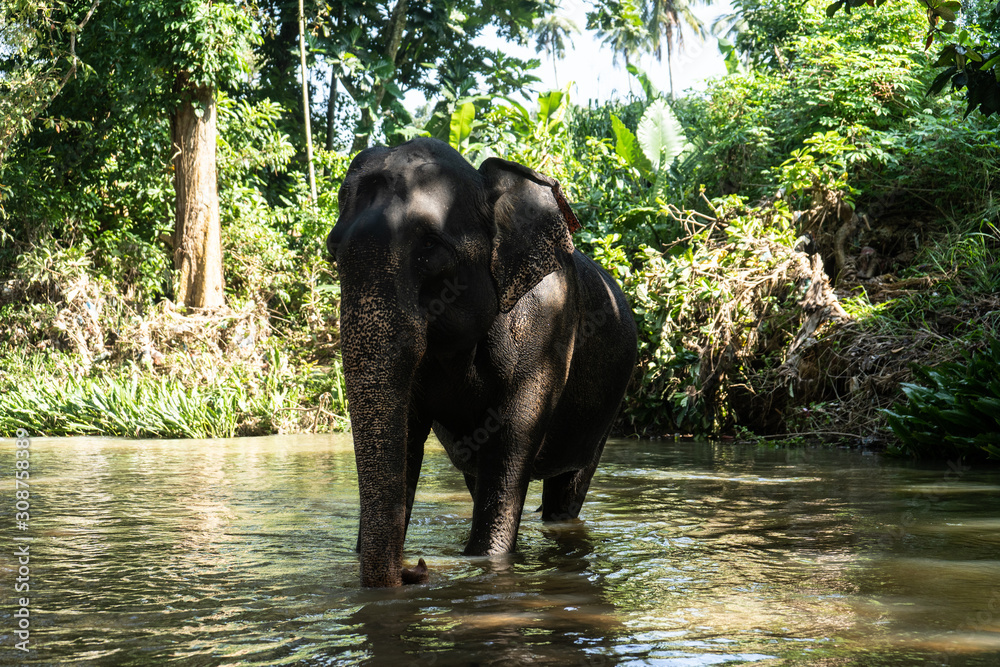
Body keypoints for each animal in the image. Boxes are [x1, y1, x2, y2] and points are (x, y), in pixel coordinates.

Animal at [327, 137, 637, 587]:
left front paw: (484, 563)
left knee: (568, 489)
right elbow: (407, 435)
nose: (414, 567)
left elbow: (511, 433)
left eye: (430, 247)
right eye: (333, 250)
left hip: (607, 409)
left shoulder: (549, 326)